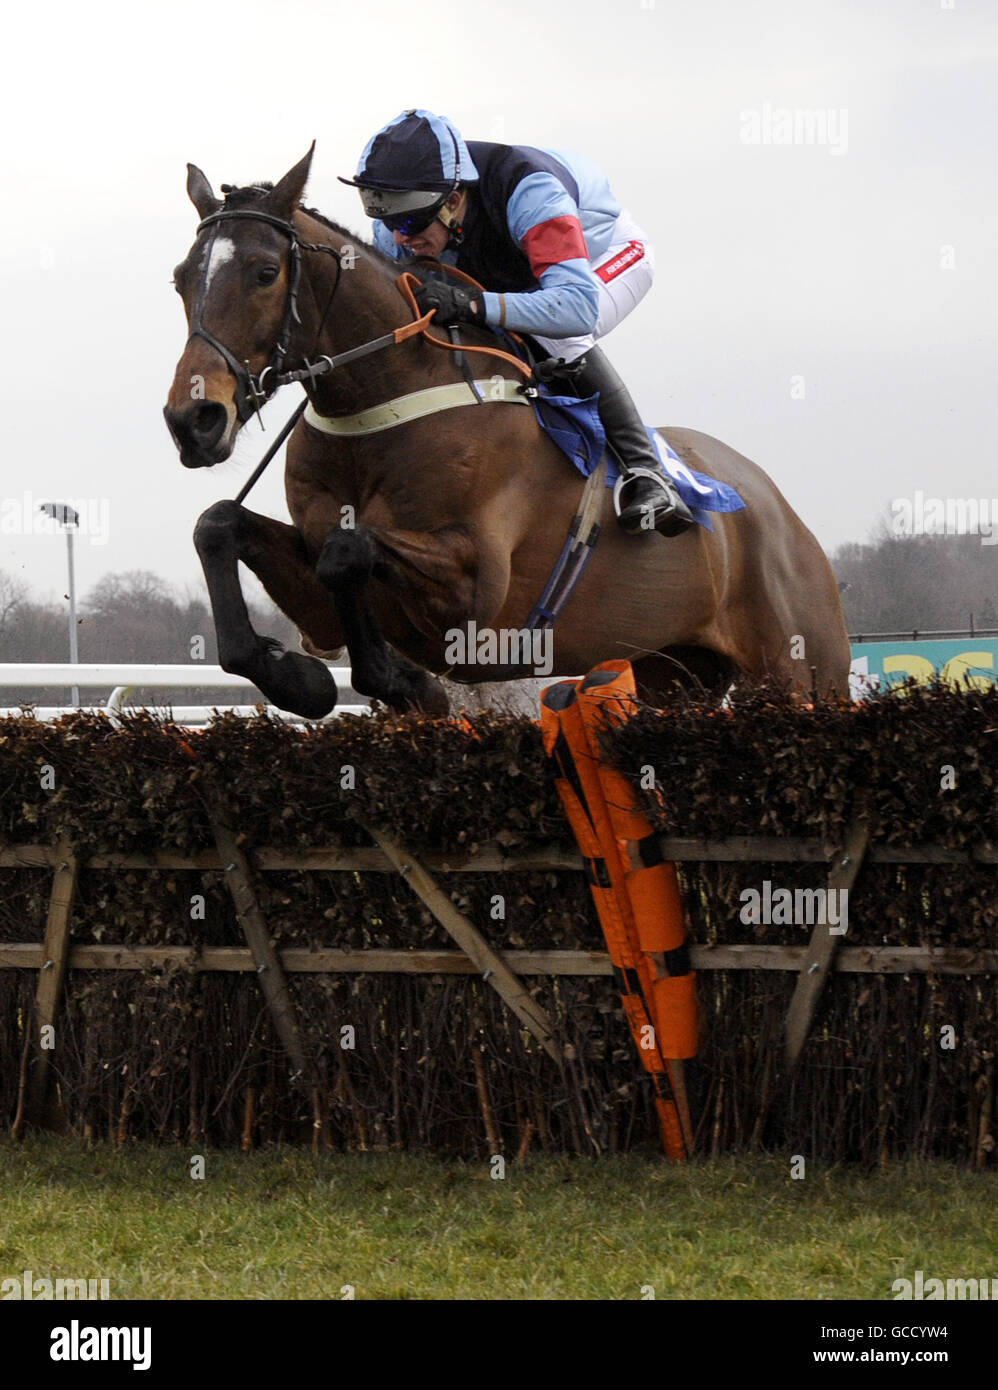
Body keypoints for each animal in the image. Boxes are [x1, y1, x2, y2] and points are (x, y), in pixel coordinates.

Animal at [164, 148, 850, 722]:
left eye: (264, 271)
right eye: (180, 278)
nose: (193, 421)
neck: (379, 408)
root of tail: (779, 510)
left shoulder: (476, 591)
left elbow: (347, 549)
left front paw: (404, 682)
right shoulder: (323, 600)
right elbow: (219, 525)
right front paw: (297, 679)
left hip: (804, 673)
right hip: (677, 676)